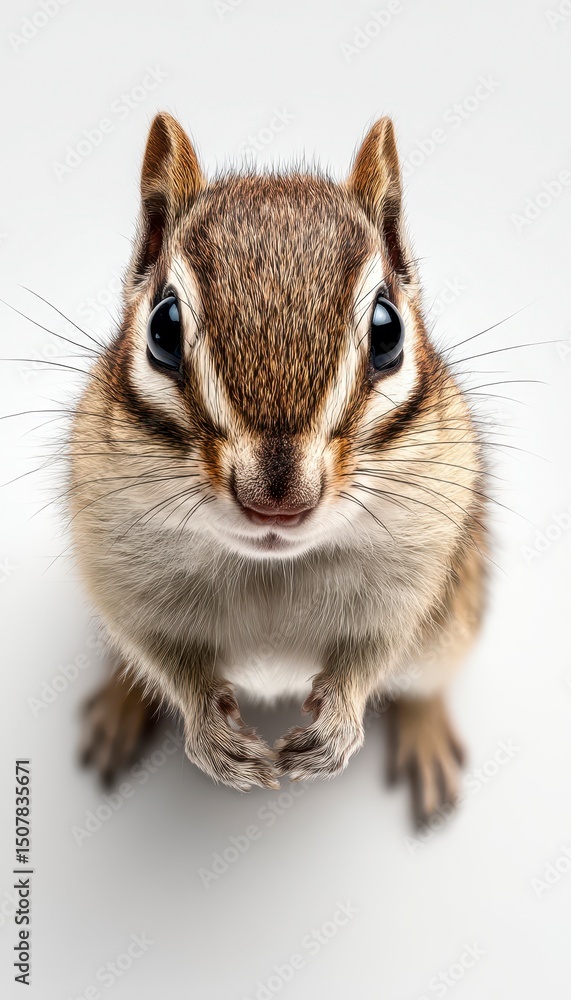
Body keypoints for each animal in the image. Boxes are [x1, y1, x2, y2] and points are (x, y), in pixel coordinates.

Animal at [71, 112, 486, 821]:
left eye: (387, 330)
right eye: (162, 327)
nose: (276, 502)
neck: (271, 566)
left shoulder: (420, 560)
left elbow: (376, 648)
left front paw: (336, 728)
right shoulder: (117, 560)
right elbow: (161, 652)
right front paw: (216, 740)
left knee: (423, 681)